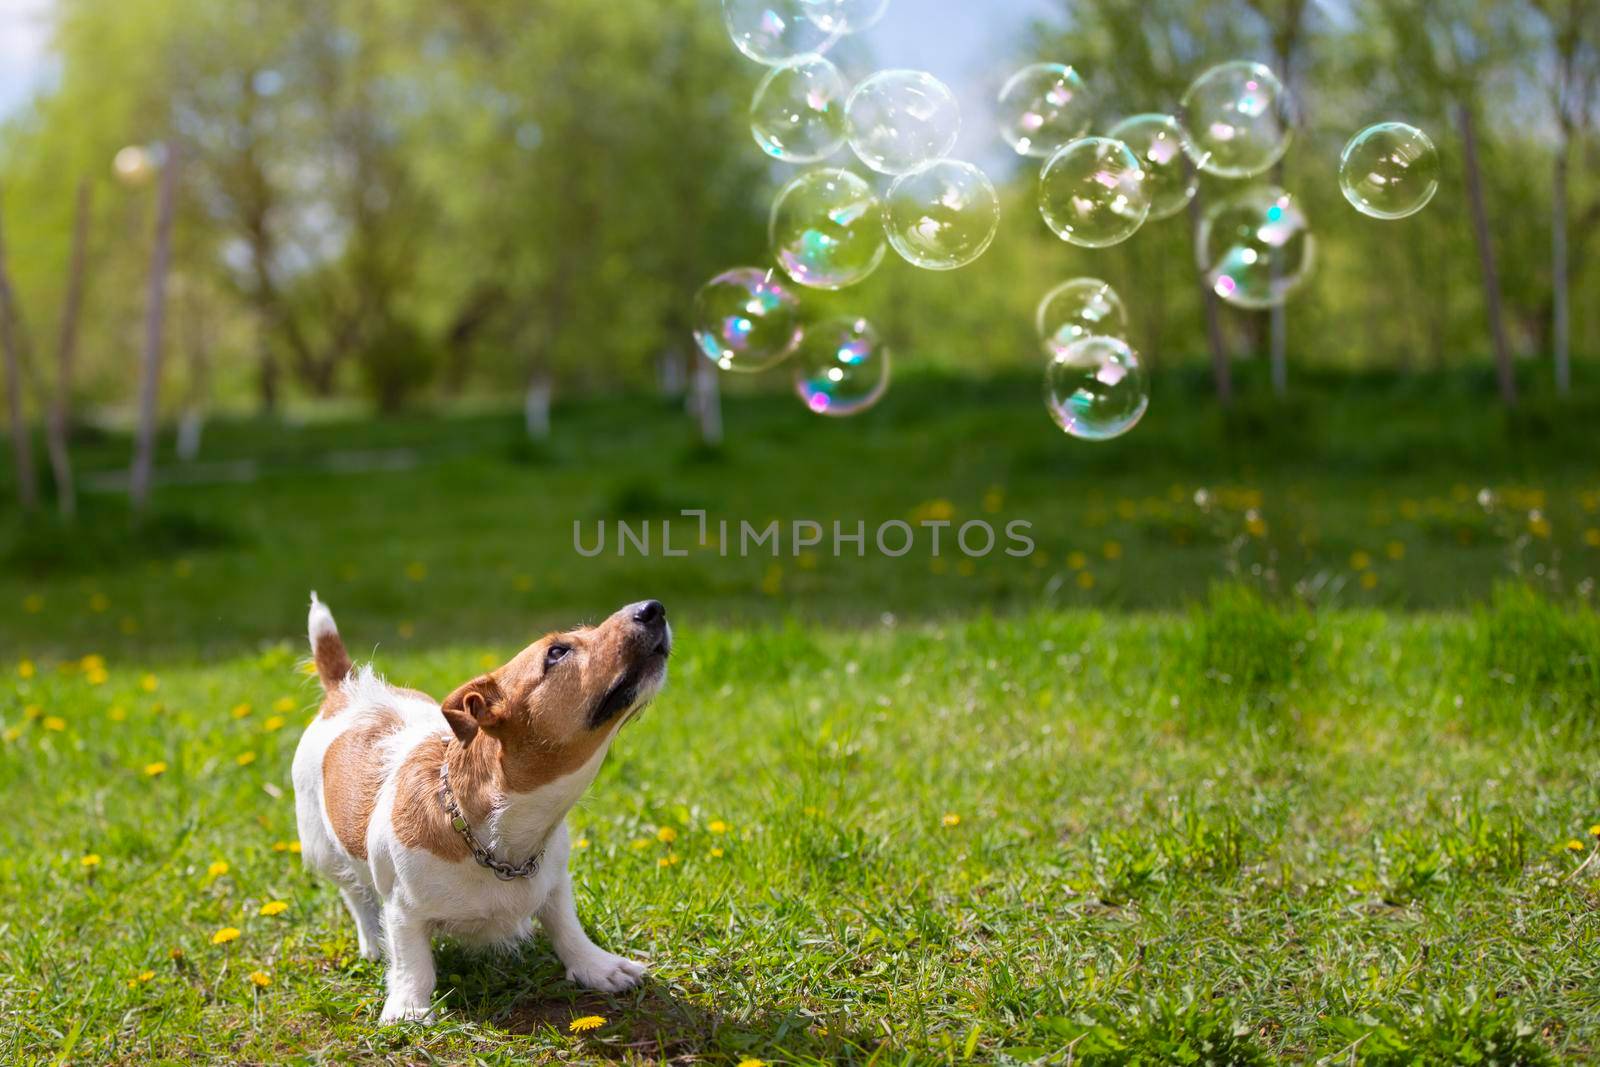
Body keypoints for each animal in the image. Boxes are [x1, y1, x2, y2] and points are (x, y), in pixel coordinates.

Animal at [291, 598, 665, 1023]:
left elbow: (565, 924)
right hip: (321, 849)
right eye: (556, 652)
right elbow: (411, 960)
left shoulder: (555, 881)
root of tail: (348, 689)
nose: (653, 607)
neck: (499, 838)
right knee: (355, 893)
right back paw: (372, 940)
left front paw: (597, 966)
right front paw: (408, 1008)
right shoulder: (403, 910)